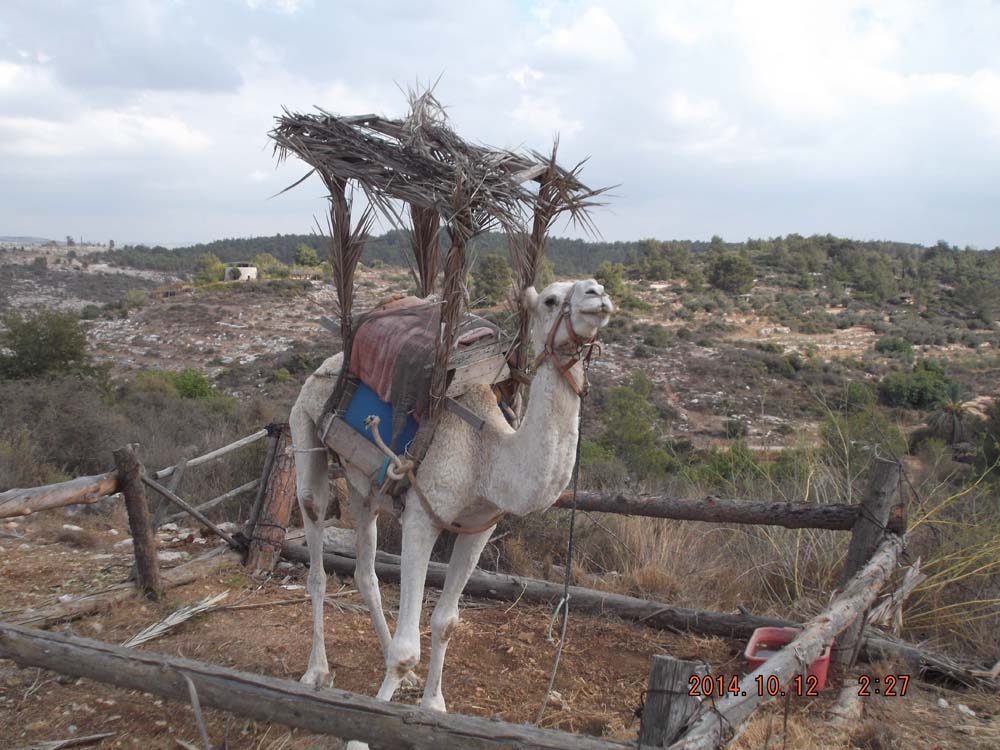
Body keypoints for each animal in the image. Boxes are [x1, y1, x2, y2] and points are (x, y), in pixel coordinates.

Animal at [290, 278, 608, 748]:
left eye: (597, 287)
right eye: (551, 299)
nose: (597, 296)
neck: (487, 456)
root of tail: (327, 363)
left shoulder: (478, 527)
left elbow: (446, 622)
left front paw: (432, 704)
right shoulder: (422, 519)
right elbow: (408, 648)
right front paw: (363, 733)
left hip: (365, 488)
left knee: (365, 571)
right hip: (305, 432)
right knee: (315, 555)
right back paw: (317, 672)